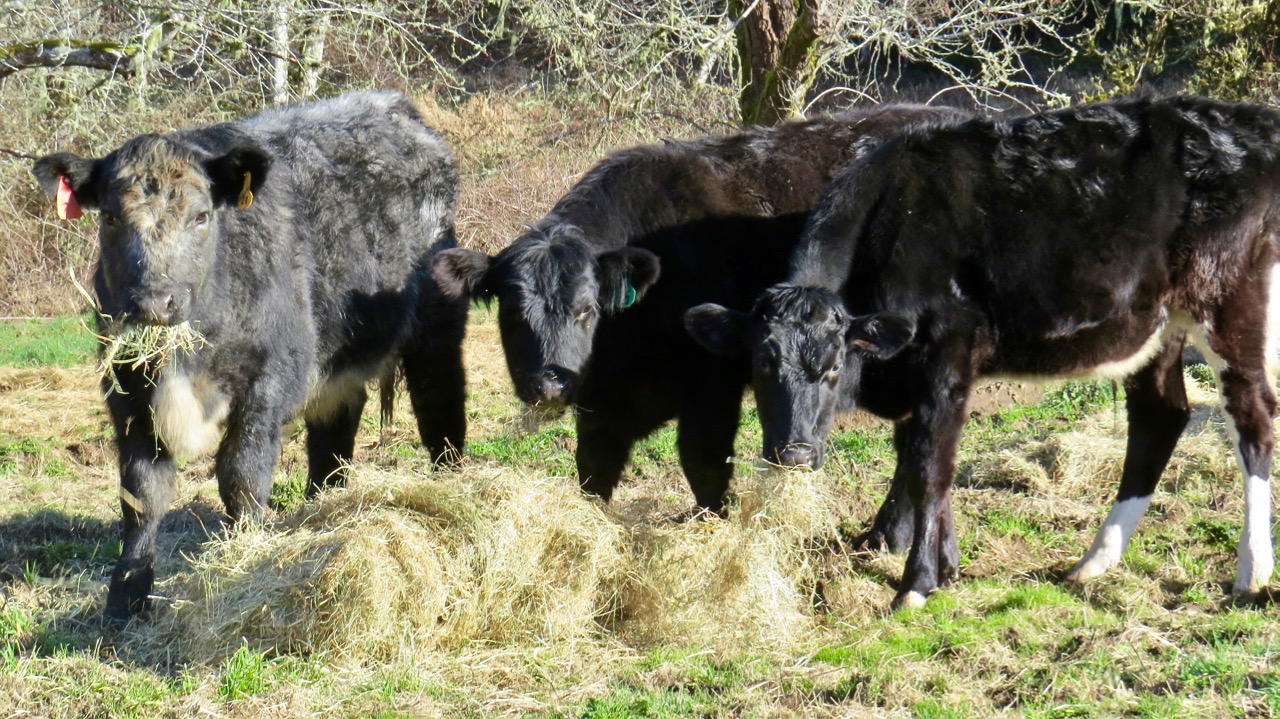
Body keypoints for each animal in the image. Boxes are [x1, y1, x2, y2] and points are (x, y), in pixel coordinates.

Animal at [31, 91, 468, 623]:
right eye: (110, 217)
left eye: (201, 216)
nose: (154, 301)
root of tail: (391, 105)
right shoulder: (127, 395)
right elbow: (141, 495)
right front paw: (125, 601)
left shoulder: (270, 379)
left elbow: (241, 475)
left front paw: (243, 558)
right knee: (333, 437)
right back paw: (321, 506)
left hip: (435, 329)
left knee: (440, 406)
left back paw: (452, 486)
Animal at [432, 105, 970, 513]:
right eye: (512, 312)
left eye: (586, 310)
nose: (548, 385)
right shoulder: (603, 405)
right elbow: (594, 470)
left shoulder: (712, 385)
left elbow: (703, 463)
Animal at [686, 95, 1280, 609]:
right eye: (762, 365)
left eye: (833, 369)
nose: (794, 454)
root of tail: (1250, 120)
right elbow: (918, 458)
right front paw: (945, 565)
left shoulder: (947, 352)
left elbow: (930, 465)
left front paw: (917, 583)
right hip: (1158, 324)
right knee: (1160, 417)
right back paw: (1095, 561)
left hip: (1229, 302)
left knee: (1252, 417)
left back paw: (1252, 571)